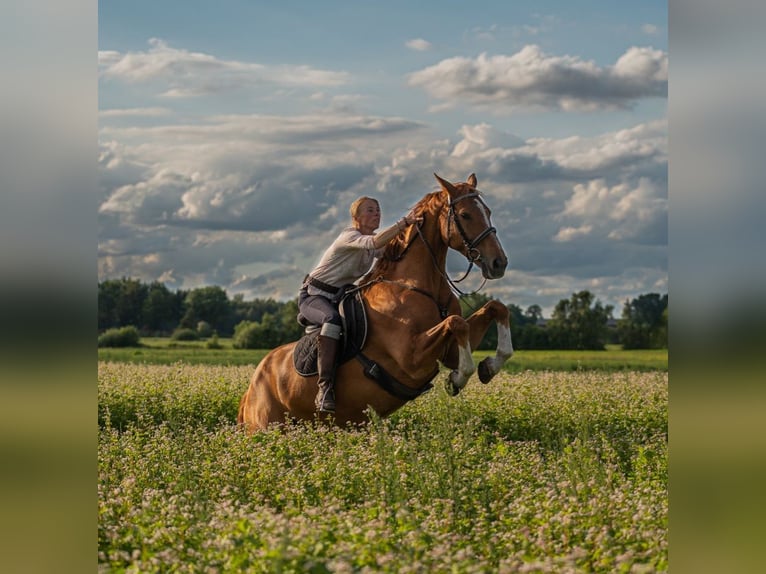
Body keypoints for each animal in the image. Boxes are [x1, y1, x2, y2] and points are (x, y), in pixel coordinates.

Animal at [237, 173, 513, 431]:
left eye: (488, 212)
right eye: (465, 215)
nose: (499, 263)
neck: (421, 288)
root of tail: (250, 390)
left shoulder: (448, 353)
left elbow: (495, 308)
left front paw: (488, 366)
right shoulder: (411, 358)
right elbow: (457, 322)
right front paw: (457, 379)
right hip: (267, 426)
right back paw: (324, 397)